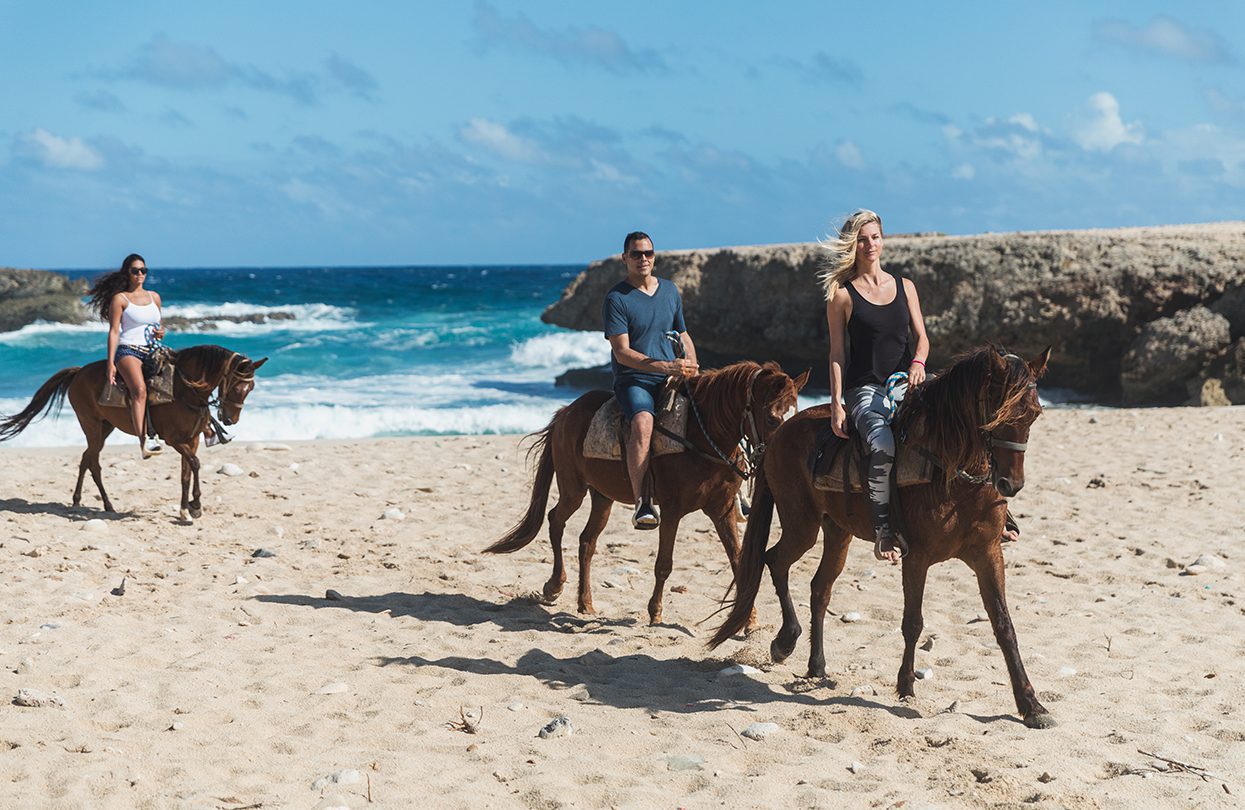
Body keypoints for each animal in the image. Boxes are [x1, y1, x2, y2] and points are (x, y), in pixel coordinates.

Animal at [0, 343, 267, 520]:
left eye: (251, 387)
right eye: (236, 386)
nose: (231, 419)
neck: (185, 391)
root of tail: (78, 372)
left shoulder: (191, 441)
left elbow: (187, 472)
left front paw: (186, 508)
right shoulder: (174, 440)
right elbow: (196, 464)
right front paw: (195, 505)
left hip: (105, 427)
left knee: (87, 459)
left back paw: (89, 502)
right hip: (91, 426)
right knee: (93, 462)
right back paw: (98, 503)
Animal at [480, 363, 811, 627]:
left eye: (795, 414)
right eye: (772, 418)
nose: (779, 457)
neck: (701, 436)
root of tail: (566, 413)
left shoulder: (723, 511)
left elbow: (739, 560)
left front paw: (749, 621)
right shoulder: (673, 510)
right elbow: (664, 564)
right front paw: (655, 613)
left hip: (603, 497)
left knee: (587, 541)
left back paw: (585, 602)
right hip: (573, 489)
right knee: (555, 521)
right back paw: (554, 586)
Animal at [712, 345, 1050, 726]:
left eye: (1034, 415)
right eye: (995, 413)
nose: (1011, 484)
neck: (952, 475)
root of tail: (781, 432)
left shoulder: (988, 553)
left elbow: (1004, 626)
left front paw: (1031, 704)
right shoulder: (917, 558)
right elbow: (913, 623)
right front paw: (905, 685)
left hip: (837, 534)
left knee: (819, 589)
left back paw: (817, 665)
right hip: (802, 526)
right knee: (775, 560)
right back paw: (786, 640)